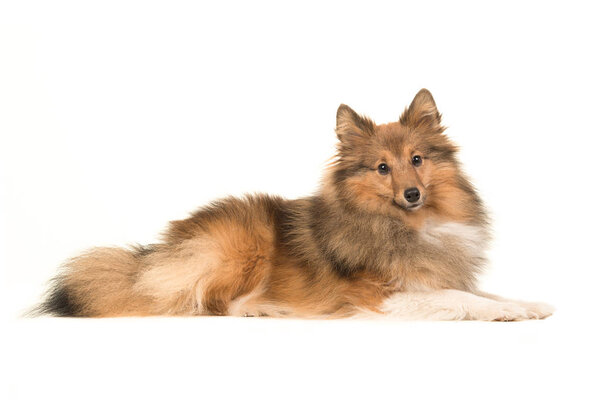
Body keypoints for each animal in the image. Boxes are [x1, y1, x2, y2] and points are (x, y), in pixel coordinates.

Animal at [36, 89, 552, 320]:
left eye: (417, 159)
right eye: (382, 168)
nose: (412, 194)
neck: (408, 225)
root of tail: (154, 255)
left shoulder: (435, 273)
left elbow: (485, 293)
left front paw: (528, 304)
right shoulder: (379, 294)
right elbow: (459, 298)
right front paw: (512, 312)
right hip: (243, 248)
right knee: (203, 301)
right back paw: (259, 308)